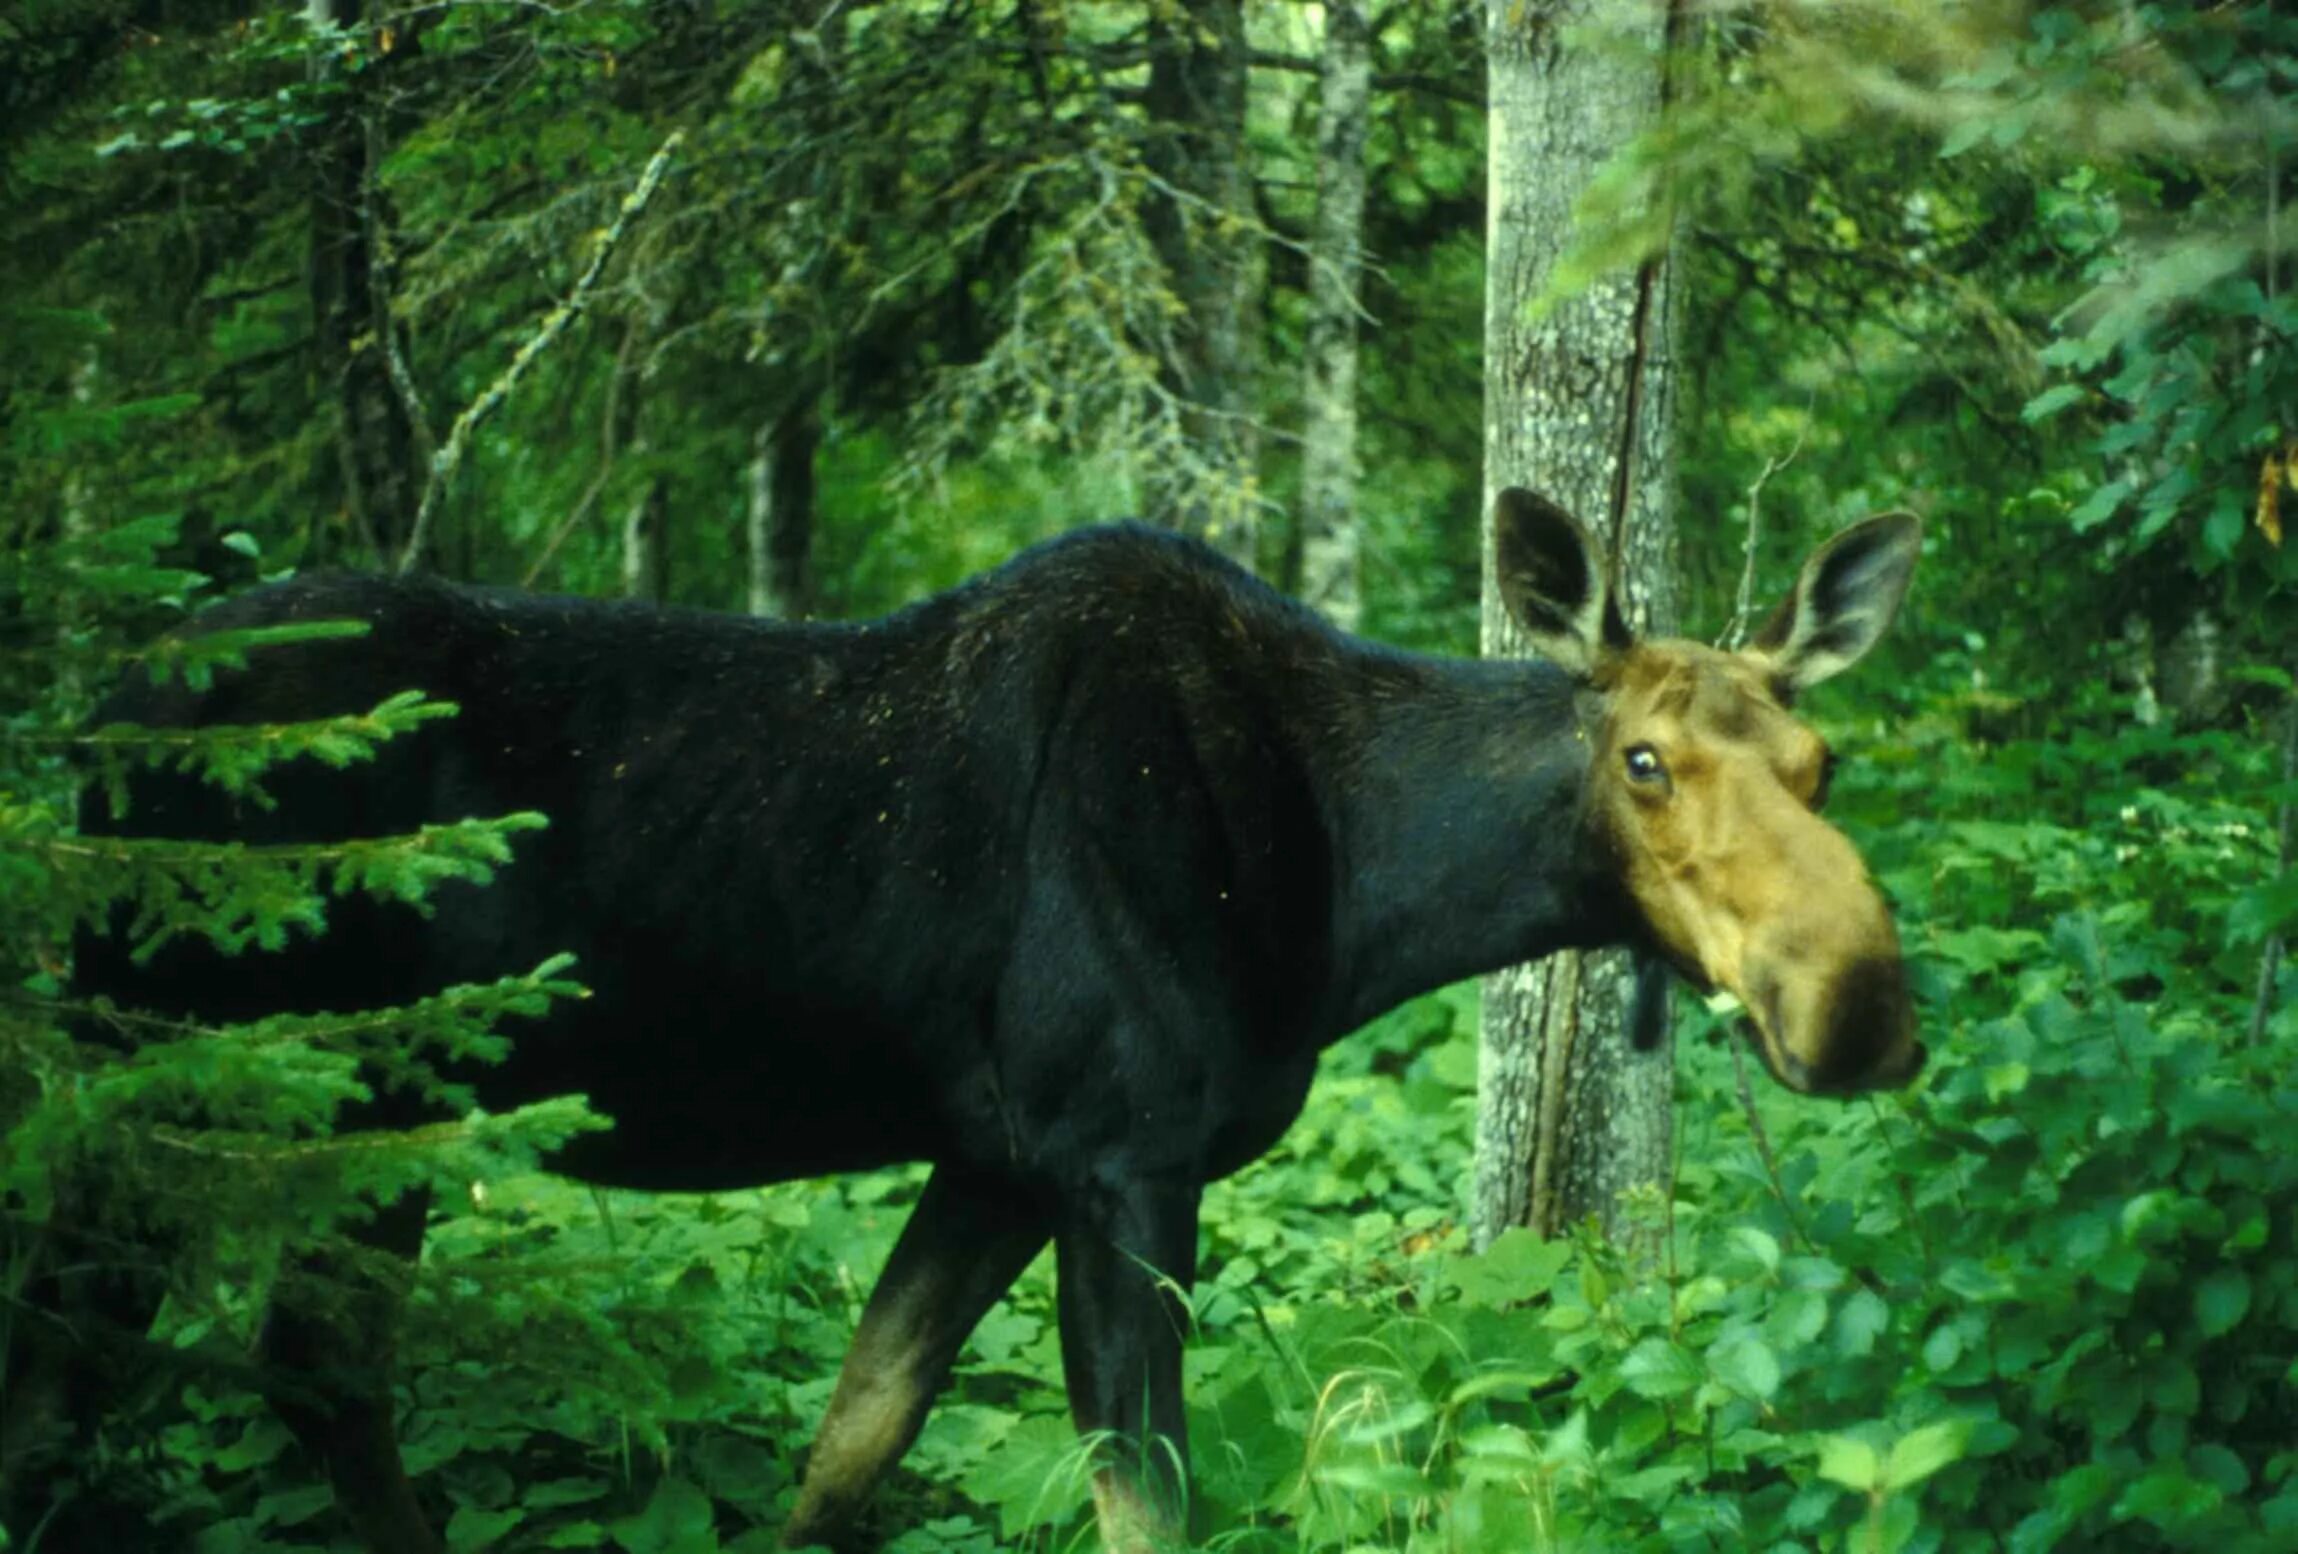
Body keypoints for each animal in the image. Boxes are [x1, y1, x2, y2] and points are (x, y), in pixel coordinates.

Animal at [17, 489, 1921, 1554]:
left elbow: (852, 1434)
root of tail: (92, 720)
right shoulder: (1124, 1156)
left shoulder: (999, 1158)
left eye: (1822, 758)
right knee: (181, 1362)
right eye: (1642, 758)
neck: (1350, 891)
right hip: (248, 1069)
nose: (1860, 1003)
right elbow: (1143, 1502)